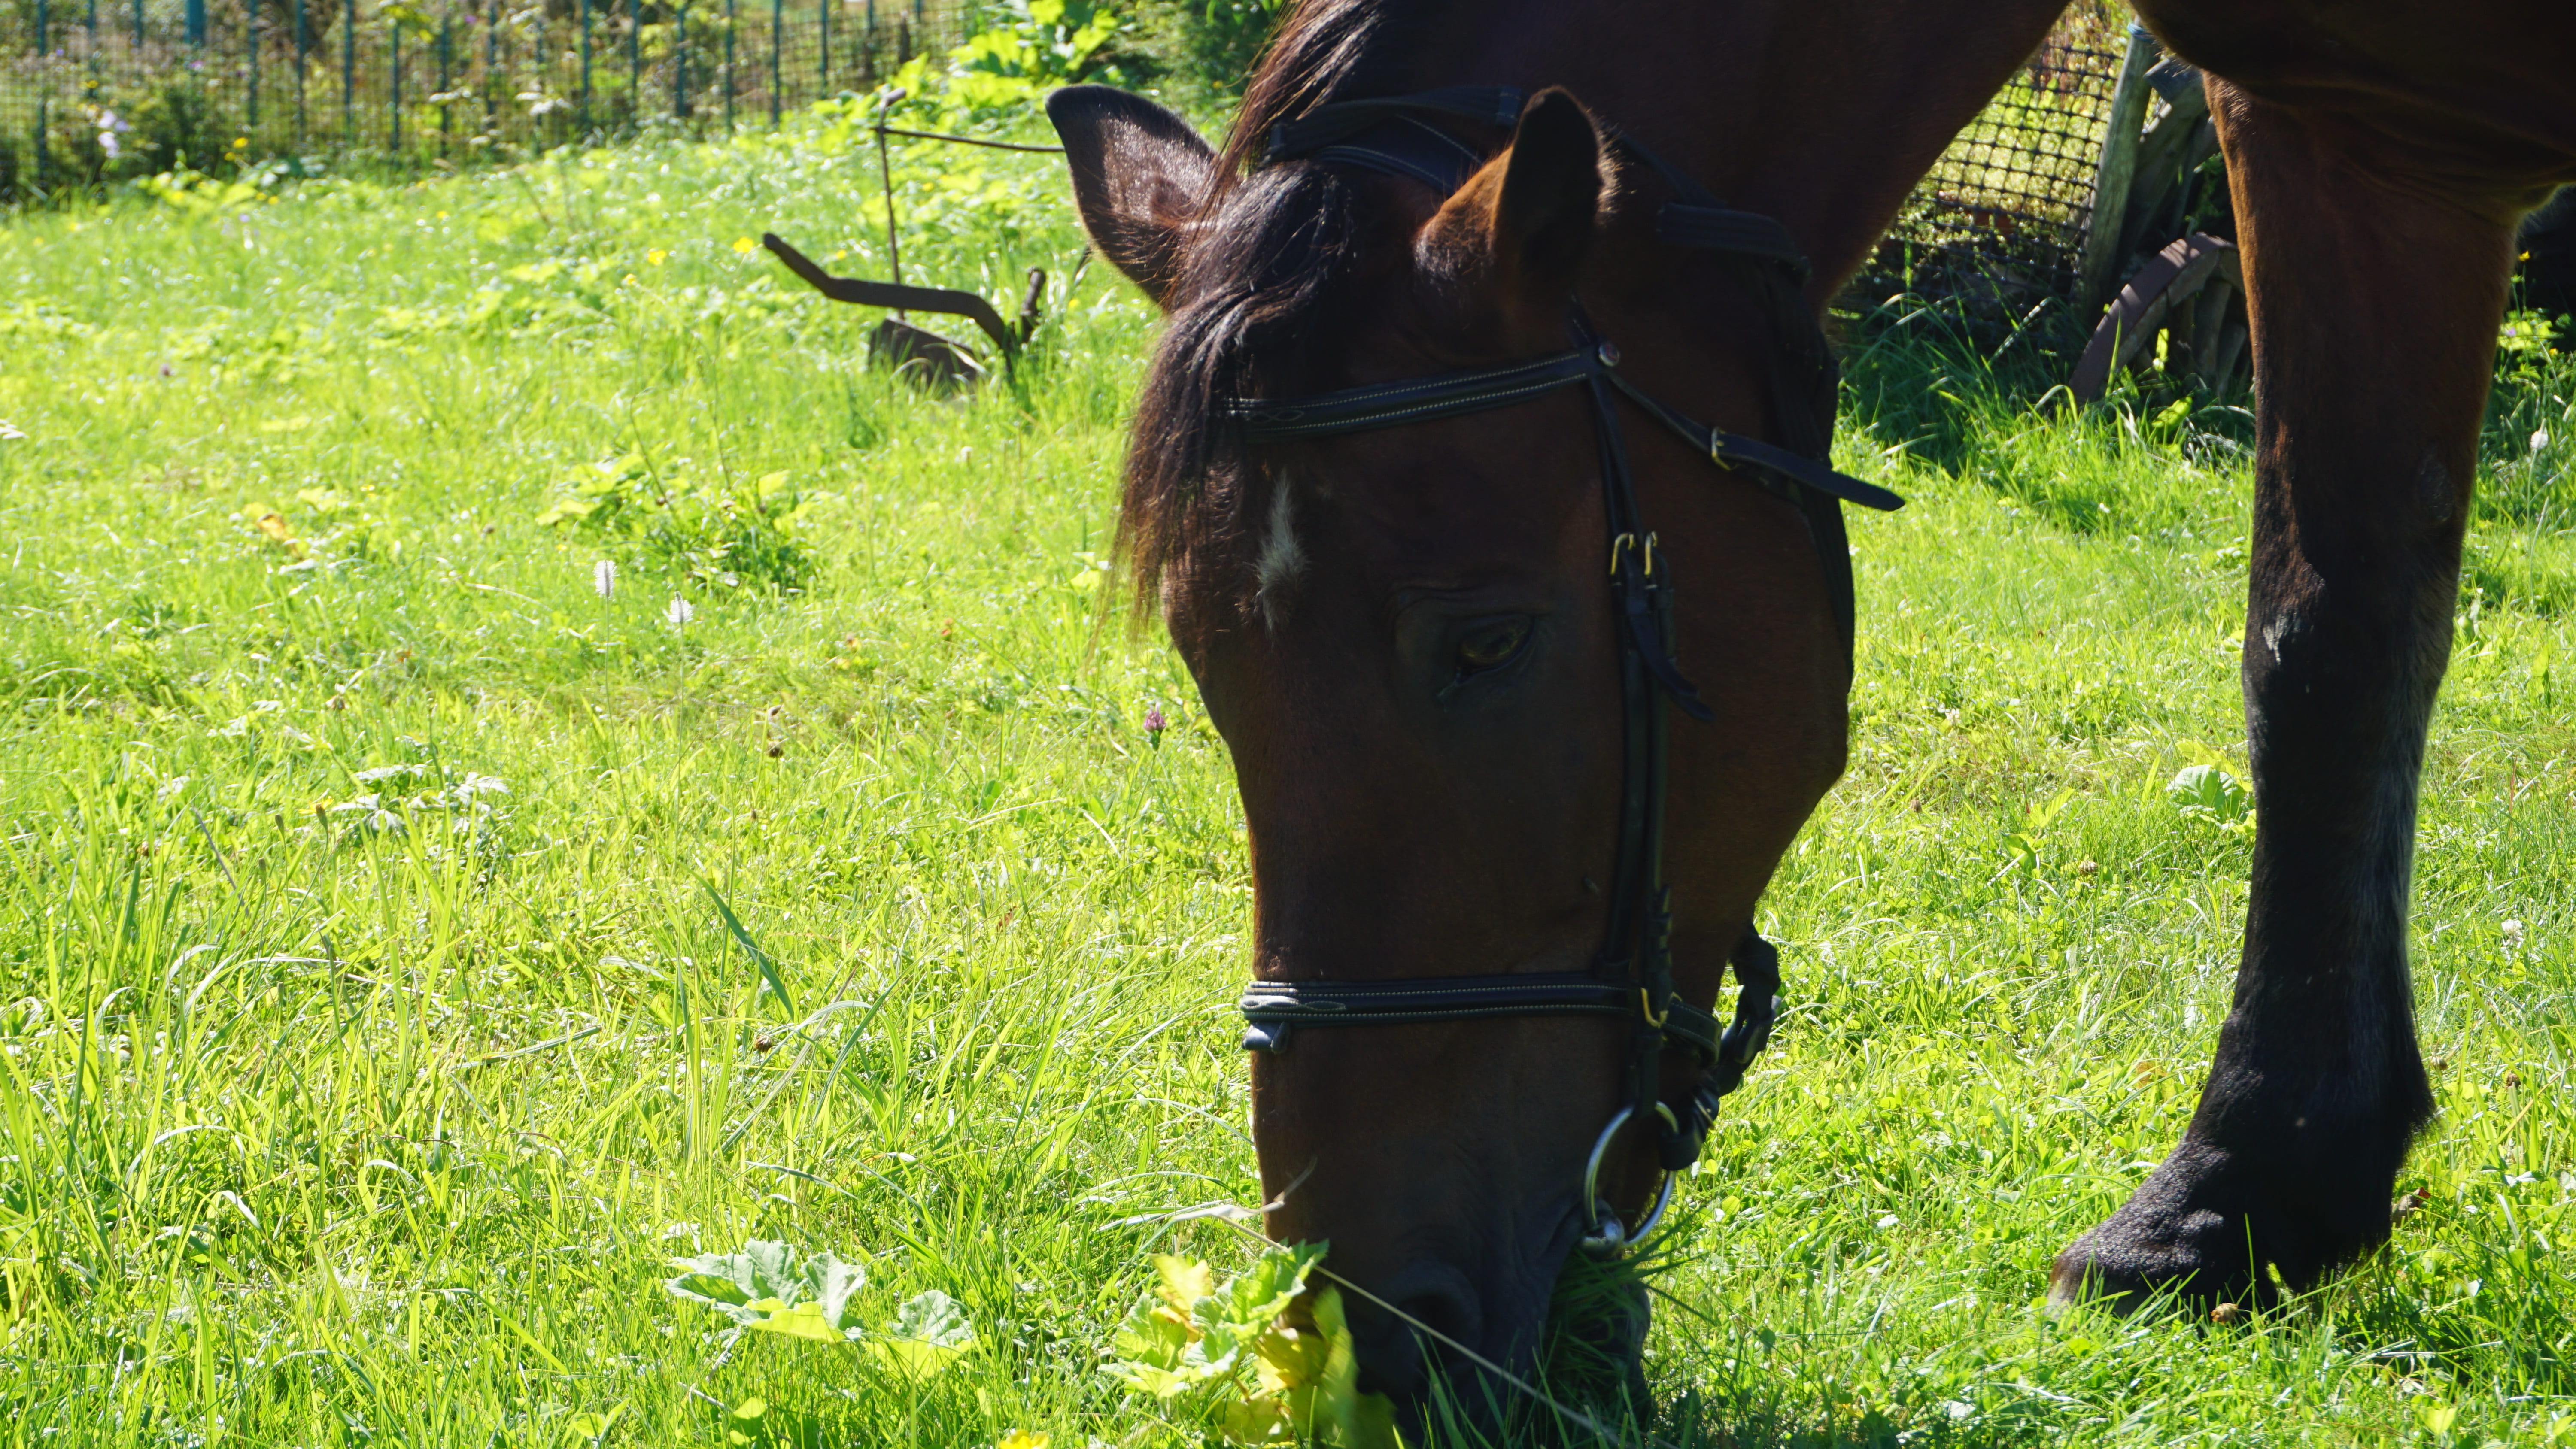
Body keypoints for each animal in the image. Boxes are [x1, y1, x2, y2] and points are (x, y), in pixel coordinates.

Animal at [1046, 0, 2576, 1425]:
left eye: (1485, 642)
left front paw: (2240, 1193)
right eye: (1203, 665)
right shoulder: (2361, 141)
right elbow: (2328, 638)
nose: (1368, 1330)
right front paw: (2243, 1204)